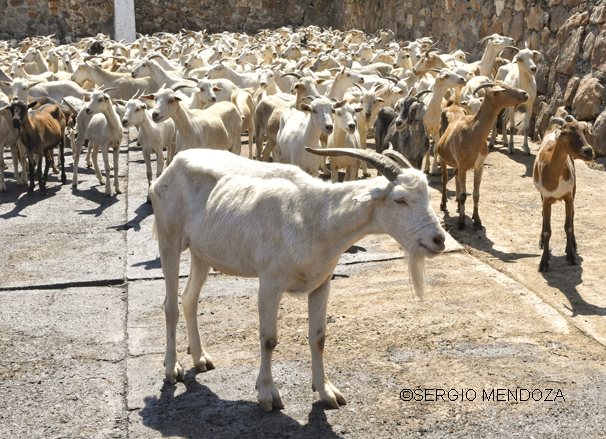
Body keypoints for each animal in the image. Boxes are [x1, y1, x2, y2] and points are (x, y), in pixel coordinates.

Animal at [440, 81, 528, 230]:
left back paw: (457, 203)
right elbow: (464, 194)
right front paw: (461, 222)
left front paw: (477, 221)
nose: (525, 94)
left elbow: (476, 195)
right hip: (442, 156)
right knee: (445, 177)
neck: (472, 132)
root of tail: (451, 106)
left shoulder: (479, 166)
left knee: (455, 175)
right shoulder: (463, 166)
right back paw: (443, 203)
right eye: (504, 89)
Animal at [536, 115, 596, 272]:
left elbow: (568, 225)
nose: (589, 151)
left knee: (573, 215)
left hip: (574, 189)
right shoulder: (546, 199)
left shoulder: (569, 197)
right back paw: (541, 242)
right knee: (543, 215)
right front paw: (544, 262)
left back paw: (573, 245)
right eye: (565, 134)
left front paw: (571, 256)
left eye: (584, 131)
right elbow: (547, 230)